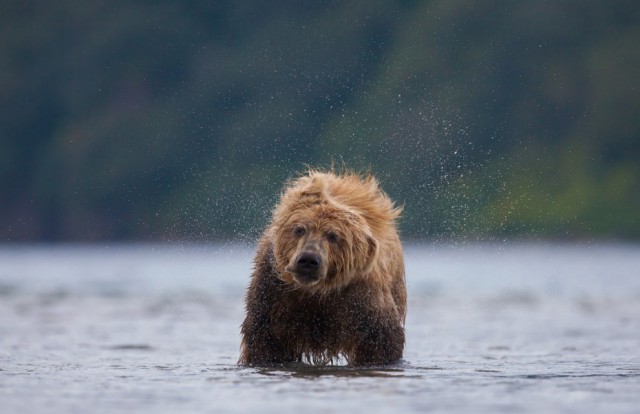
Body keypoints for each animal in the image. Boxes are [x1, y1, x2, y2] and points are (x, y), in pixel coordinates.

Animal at [240, 168, 404, 366]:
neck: (317, 291)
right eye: (299, 229)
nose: (308, 260)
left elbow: (380, 340)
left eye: (332, 235)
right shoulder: (273, 292)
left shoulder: (361, 297)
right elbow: (266, 340)